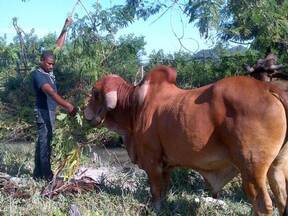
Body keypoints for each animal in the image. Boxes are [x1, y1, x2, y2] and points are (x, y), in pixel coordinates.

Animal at [84, 66, 288, 216]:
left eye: (95, 93)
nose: (85, 112)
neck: (134, 107)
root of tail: (268, 88)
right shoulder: (165, 165)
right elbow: (163, 191)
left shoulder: (152, 161)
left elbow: (156, 191)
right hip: (276, 166)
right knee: (282, 199)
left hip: (251, 169)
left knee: (262, 204)